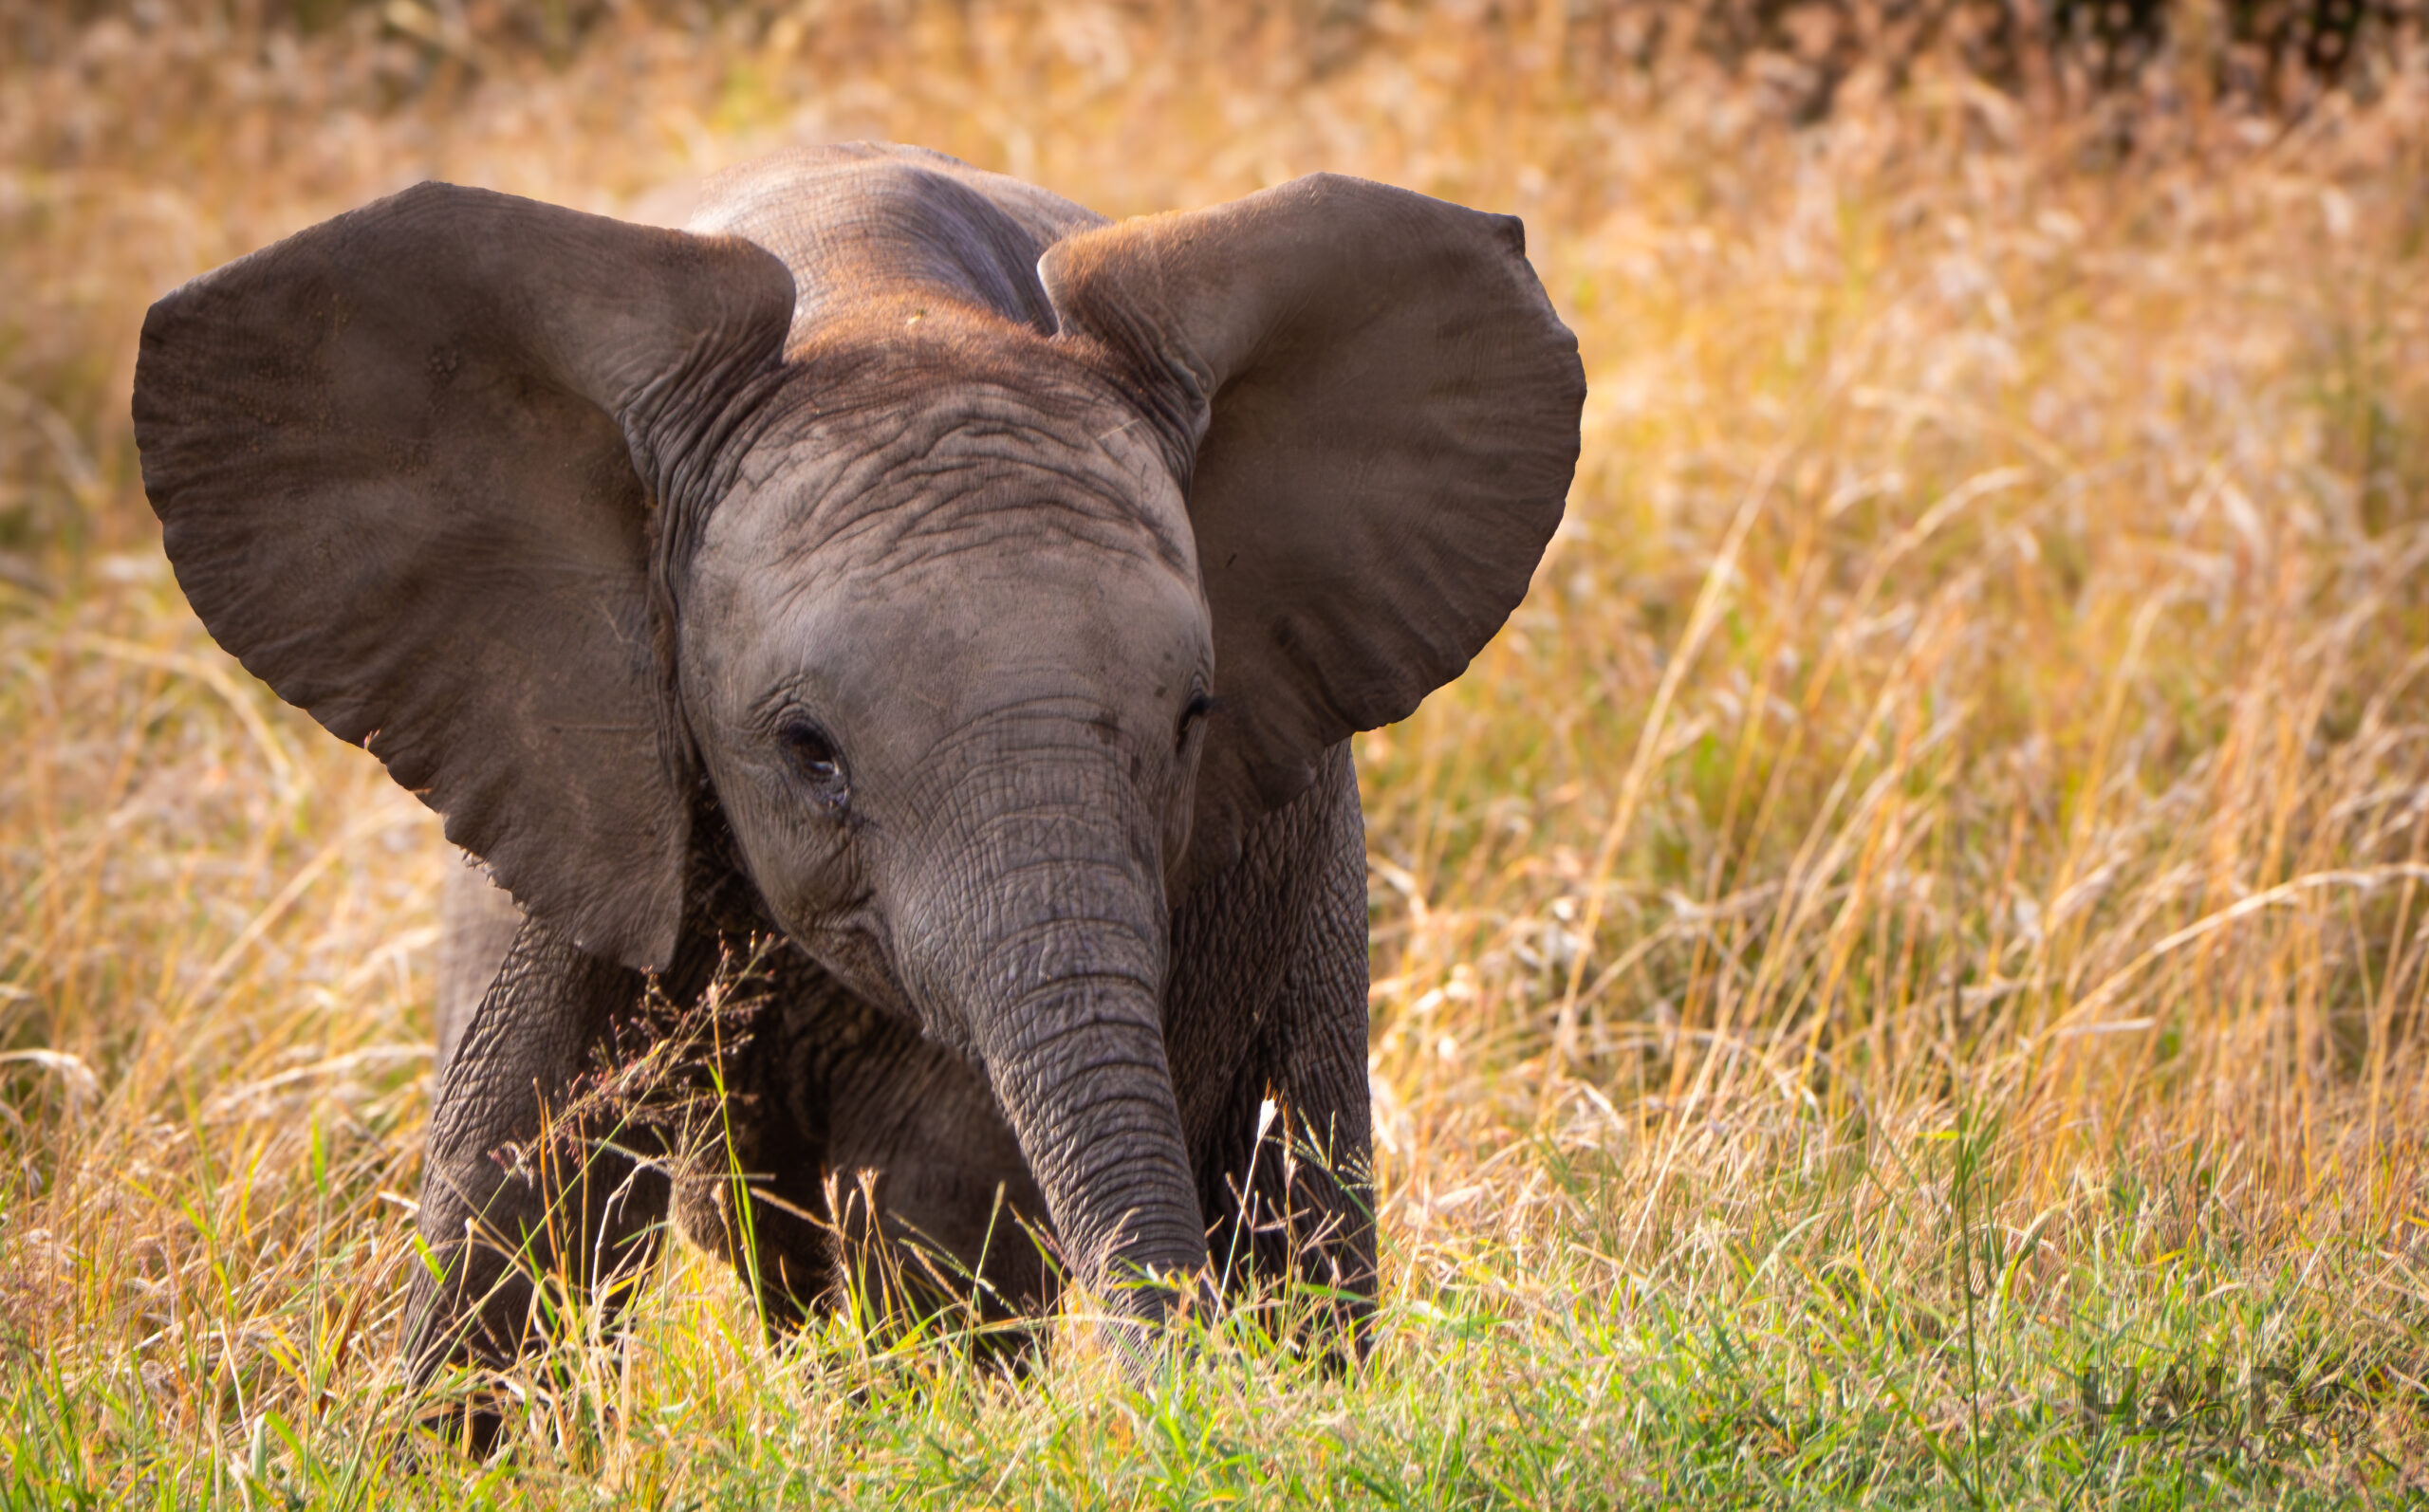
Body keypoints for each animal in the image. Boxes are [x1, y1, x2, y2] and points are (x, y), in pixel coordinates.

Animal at [131, 143, 1584, 1414]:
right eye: (808, 751)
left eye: (1193, 720)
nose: (1185, 1396)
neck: (877, 288)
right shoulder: (569, 749)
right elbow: (517, 1148)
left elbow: (937, 1192)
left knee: (1292, 1182)